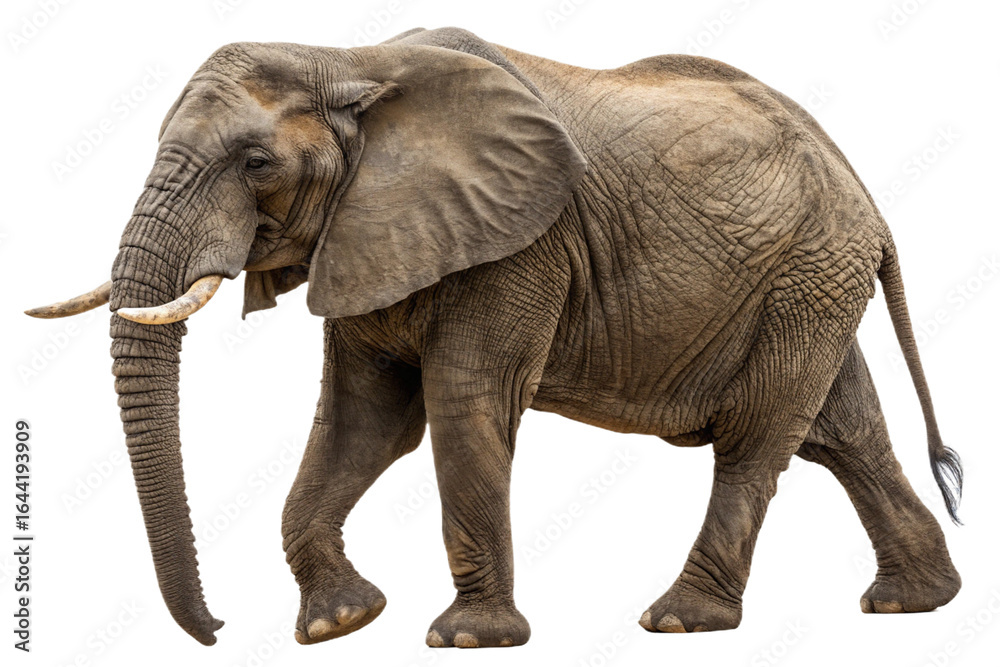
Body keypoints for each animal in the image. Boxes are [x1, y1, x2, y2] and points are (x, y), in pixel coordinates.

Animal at [27, 26, 962, 649]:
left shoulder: (521, 244)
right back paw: (914, 603)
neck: (348, 60)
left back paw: (678, 619)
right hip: (811, 282)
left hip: (806, 271)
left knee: (757, 437)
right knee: (842, 434)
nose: (218, 626)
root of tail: (870, 202)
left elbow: (462, 403)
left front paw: (468, 638)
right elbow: (365, 422)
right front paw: (341, 621)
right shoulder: (369, 237)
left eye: (256, 164)